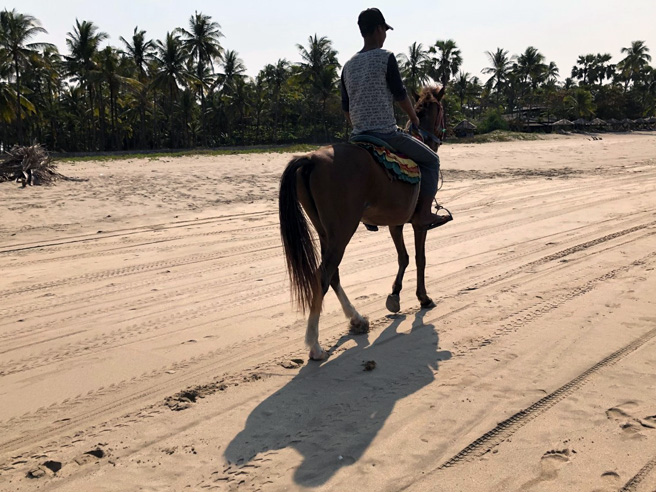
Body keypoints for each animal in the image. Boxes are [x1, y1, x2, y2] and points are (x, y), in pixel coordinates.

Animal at [280, 86, 448, 360]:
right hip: (342, 231)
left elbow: (403, 258)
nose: (444, 133)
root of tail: (312, 158)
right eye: (442, 110)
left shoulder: (395, 224)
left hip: (326, 232)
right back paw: (315, 345)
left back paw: (356, 319)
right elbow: (420, 259)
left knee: (332, 274)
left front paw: (394, 296)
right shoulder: (419, 223)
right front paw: (423, 297)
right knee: (323, 275)